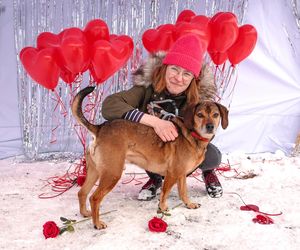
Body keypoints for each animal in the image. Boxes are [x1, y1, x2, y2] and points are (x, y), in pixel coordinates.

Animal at [71, 87, 229, 229]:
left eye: (215, 114)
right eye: (200, 115)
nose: (210, 126)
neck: (193, 136)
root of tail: (100, 128)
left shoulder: (181, 175)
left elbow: (183, 192)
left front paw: (189, 204)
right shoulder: (172, 174)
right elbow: (164, 194)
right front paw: (163, 209)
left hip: (94, 172)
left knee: (82, 193)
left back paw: (85, 213)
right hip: (112, 173)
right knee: (94, 198)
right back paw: (97, 223)